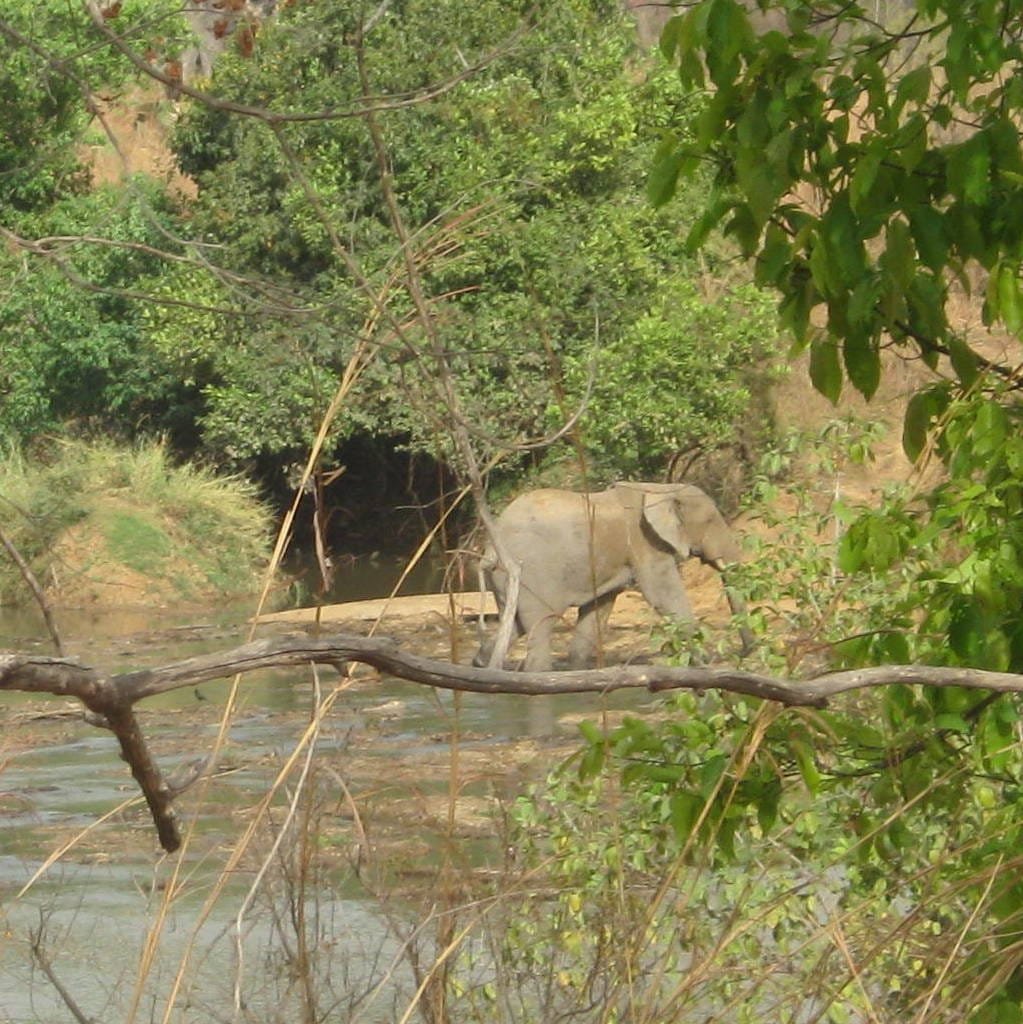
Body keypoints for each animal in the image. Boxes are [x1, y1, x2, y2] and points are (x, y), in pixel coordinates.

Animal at [474, 482, 753, 672]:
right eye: (711, 520)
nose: (746, 652)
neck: (662, 489)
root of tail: (490, 548)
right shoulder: (645, 543)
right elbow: (663, 594)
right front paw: (702, 662)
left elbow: (599, 608)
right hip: (534, 573)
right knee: (540, 624)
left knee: (515, 624)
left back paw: (481, 664)